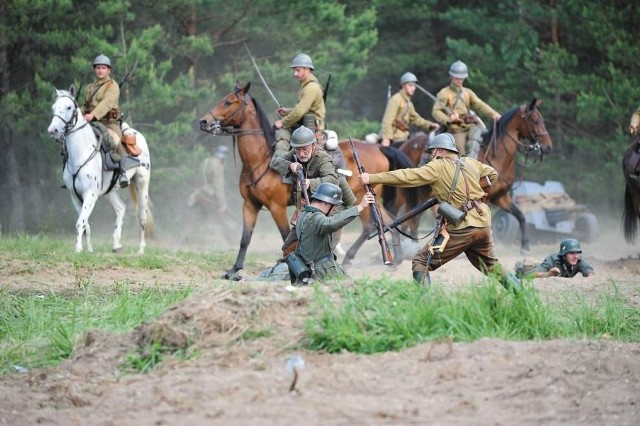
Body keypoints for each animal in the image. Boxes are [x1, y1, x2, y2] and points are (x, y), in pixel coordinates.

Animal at [47, 85, 153, 255]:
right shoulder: (75, 196)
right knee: (121, 208)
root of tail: (137, 135)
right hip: (109, 191)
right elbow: (85, 224)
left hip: (142, 184)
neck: (81, 153)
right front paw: (89, 250)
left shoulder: (90, 194)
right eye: (53, 108)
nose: (53, 130)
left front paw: (78, 249)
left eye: (69, 107)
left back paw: (141, 249)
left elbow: (80, 222)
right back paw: (116, 244)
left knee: (142, 216)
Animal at [199, 83, 416, 278]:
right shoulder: (250, 205)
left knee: (371, 224)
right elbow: (245, 238)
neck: (260, 159)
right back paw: (392, 260)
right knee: (385, 222)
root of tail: (379, 148)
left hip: (363, 193)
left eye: (229, 102)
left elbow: (286, 234)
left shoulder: (277, 207)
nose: (204, 121)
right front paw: (234, 269)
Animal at [478, 98, 552, 251]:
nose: (548, 146)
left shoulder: (501, 198)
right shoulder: (484, 198)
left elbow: (520, 216)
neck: (497, 159)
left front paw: (525, 245)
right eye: (534, 120)